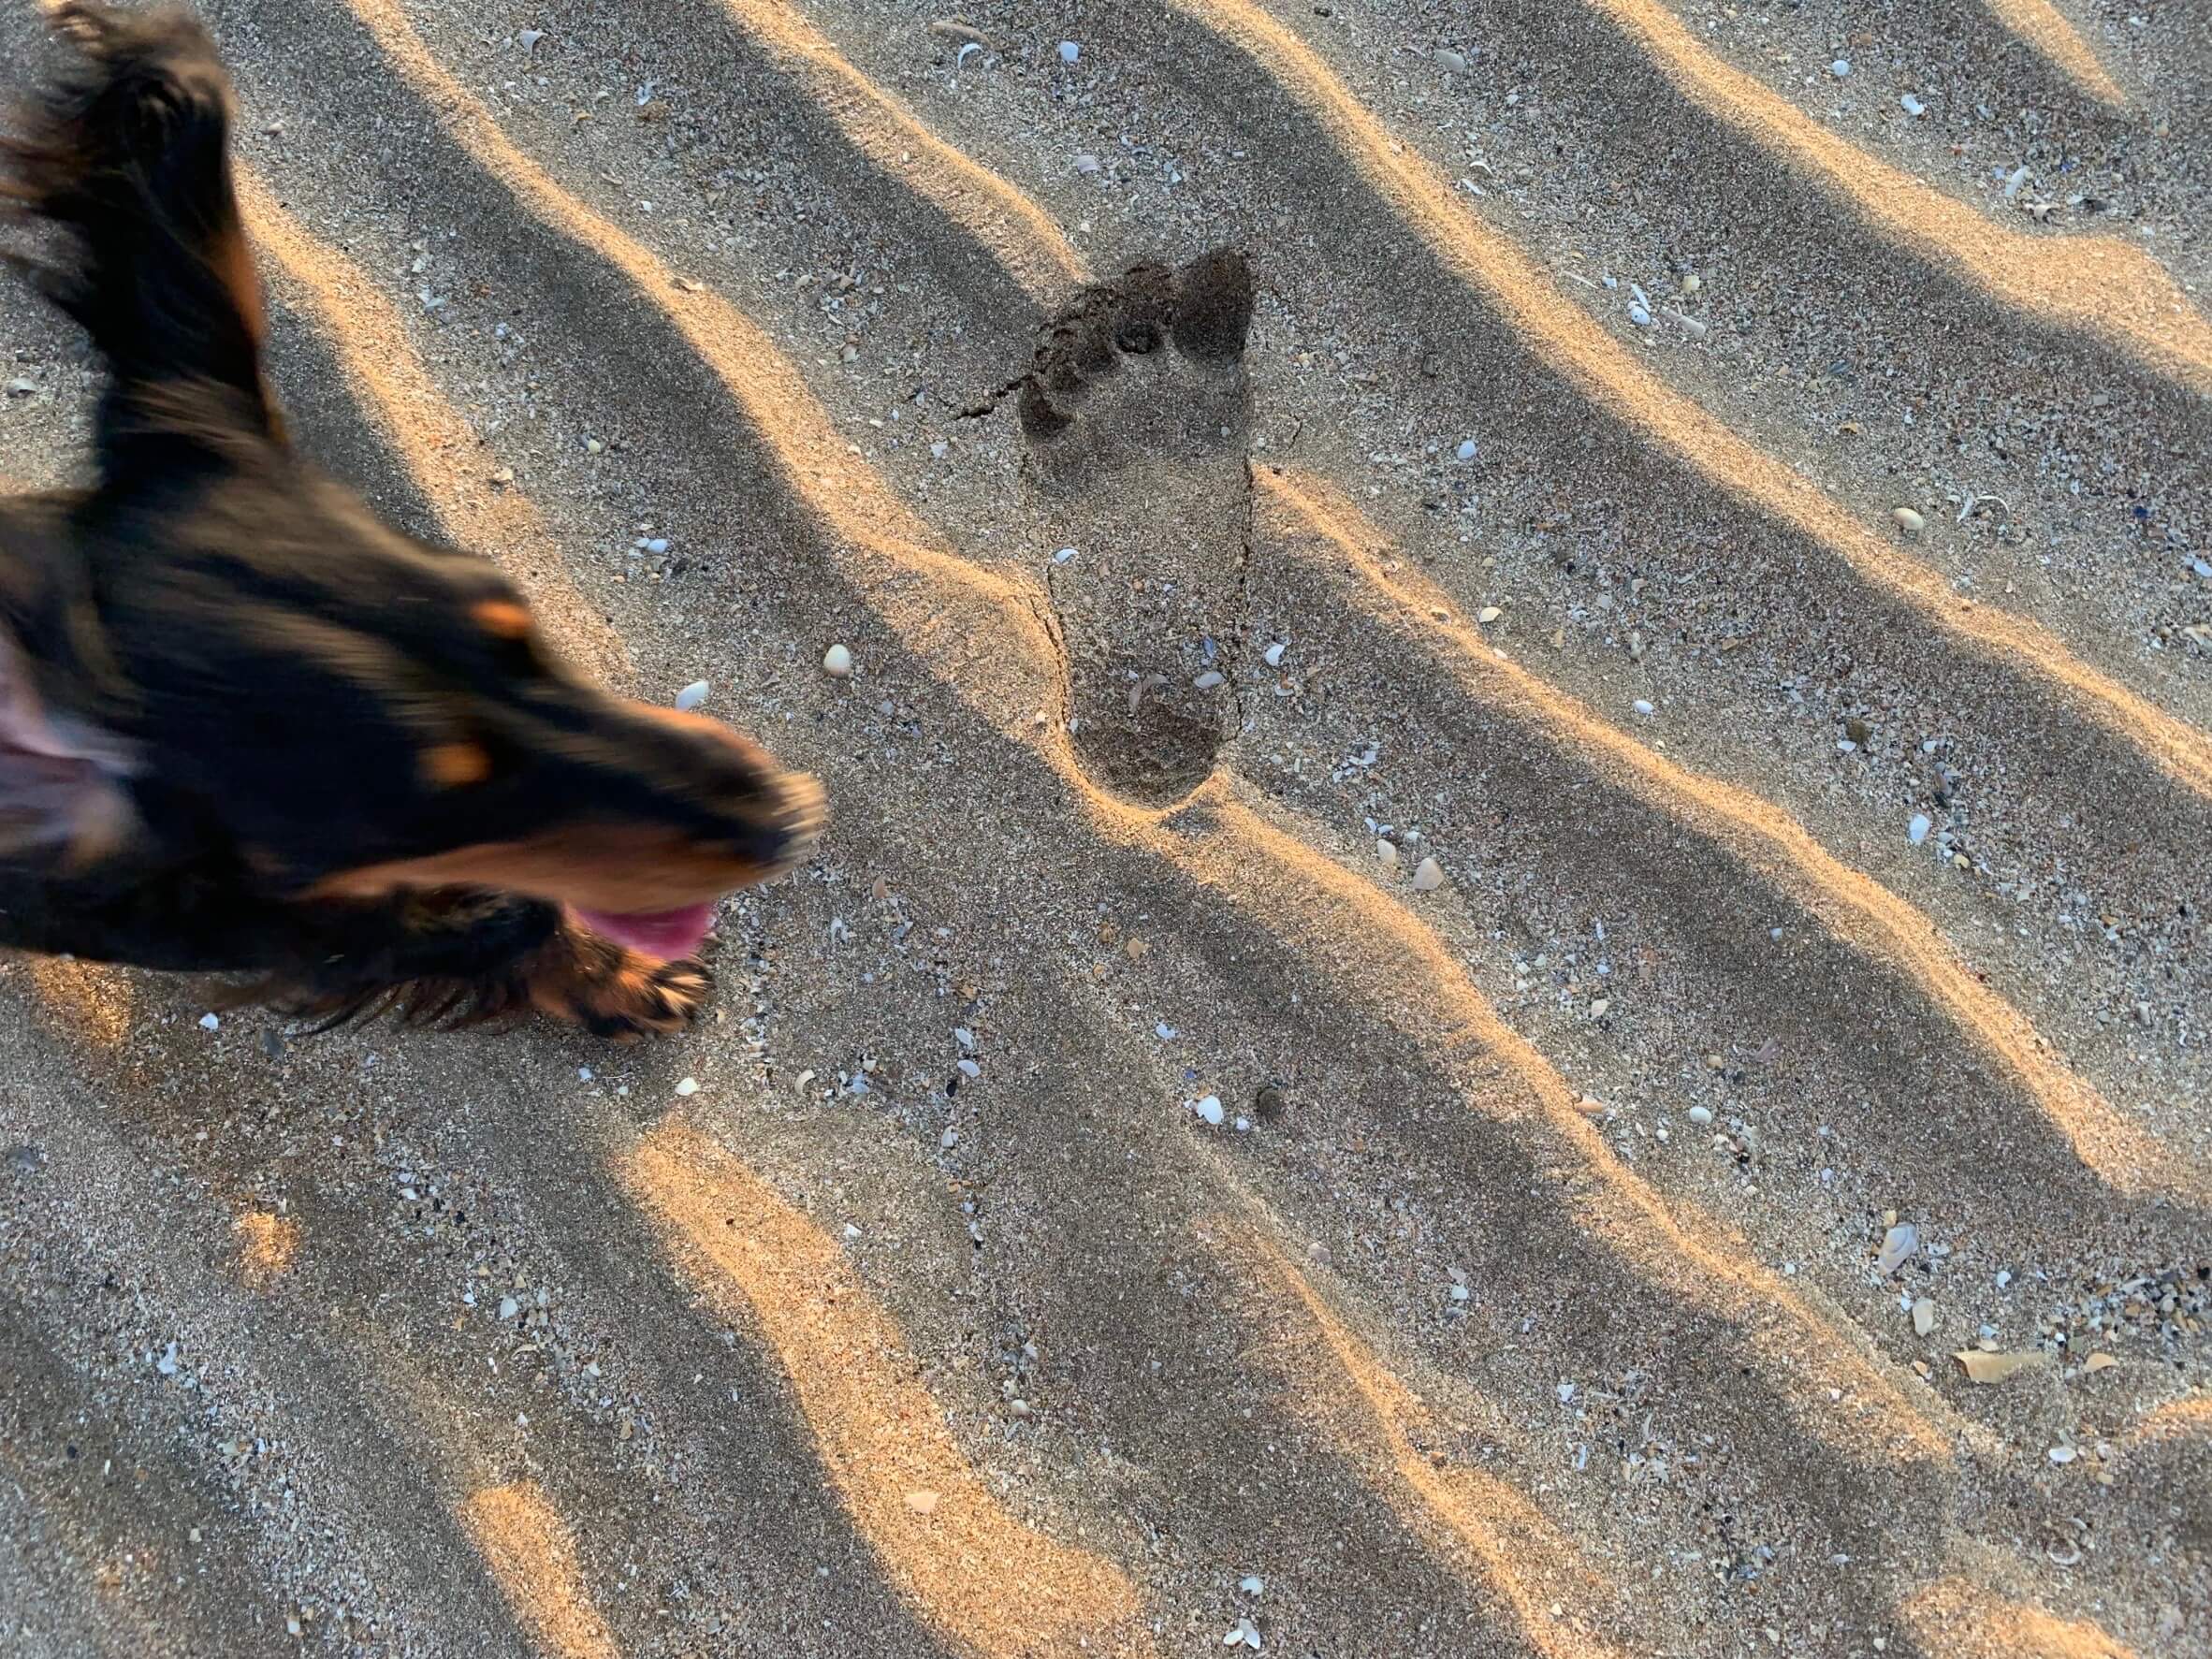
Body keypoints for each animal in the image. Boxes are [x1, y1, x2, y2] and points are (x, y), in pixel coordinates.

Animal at [0, 3, 822, 1040]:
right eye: (435, 810)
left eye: (525, 634)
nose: (787, 816)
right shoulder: (268, 922)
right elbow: (484, 928)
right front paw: (622, 974)